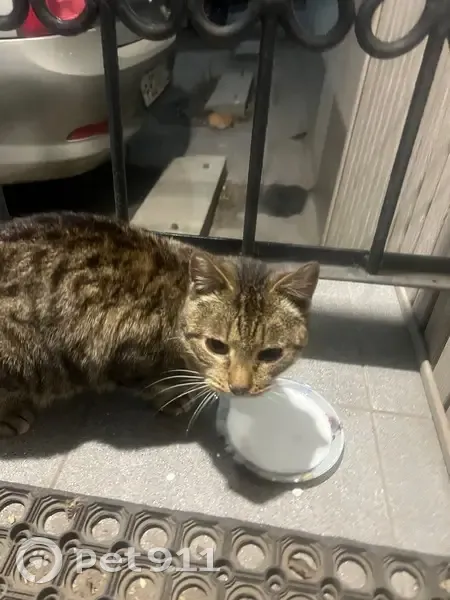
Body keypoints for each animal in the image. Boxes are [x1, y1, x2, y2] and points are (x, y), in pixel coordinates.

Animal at [0, 211, 320, 438]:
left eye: (271, 354)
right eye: (216, 346)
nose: (239, 388)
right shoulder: (117, 353)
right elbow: (153, 383)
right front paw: (173, 395)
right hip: (23, 359)